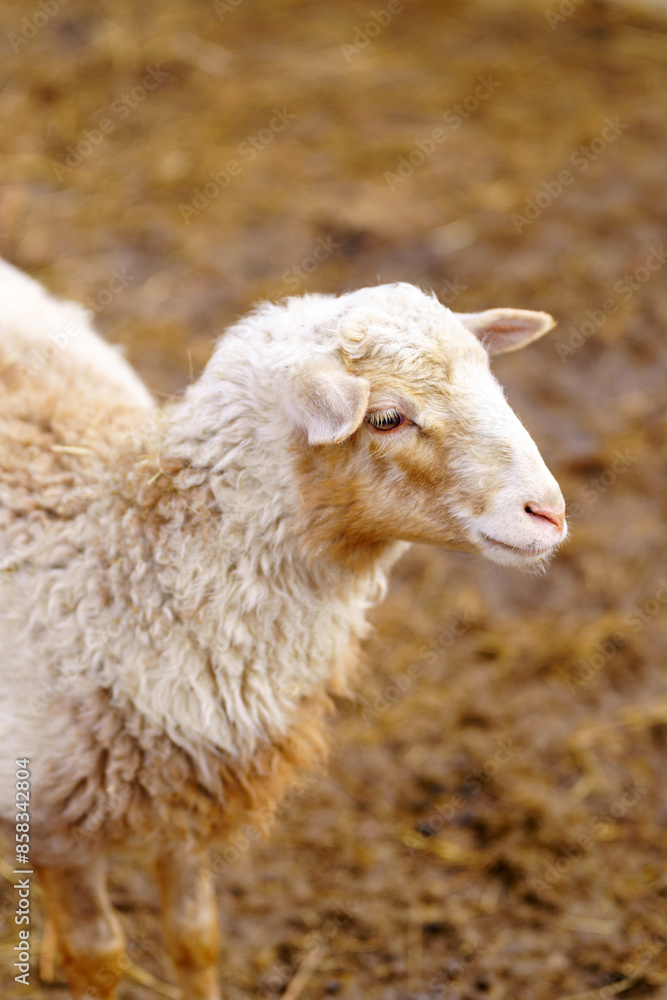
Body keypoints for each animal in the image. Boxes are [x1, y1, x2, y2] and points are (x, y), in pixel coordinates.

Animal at [0, 258, 567, 1000]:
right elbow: (100, 956)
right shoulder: (55, 818)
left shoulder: (193, 787)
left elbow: (195, 936)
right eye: (387, 418)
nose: (548, 513)